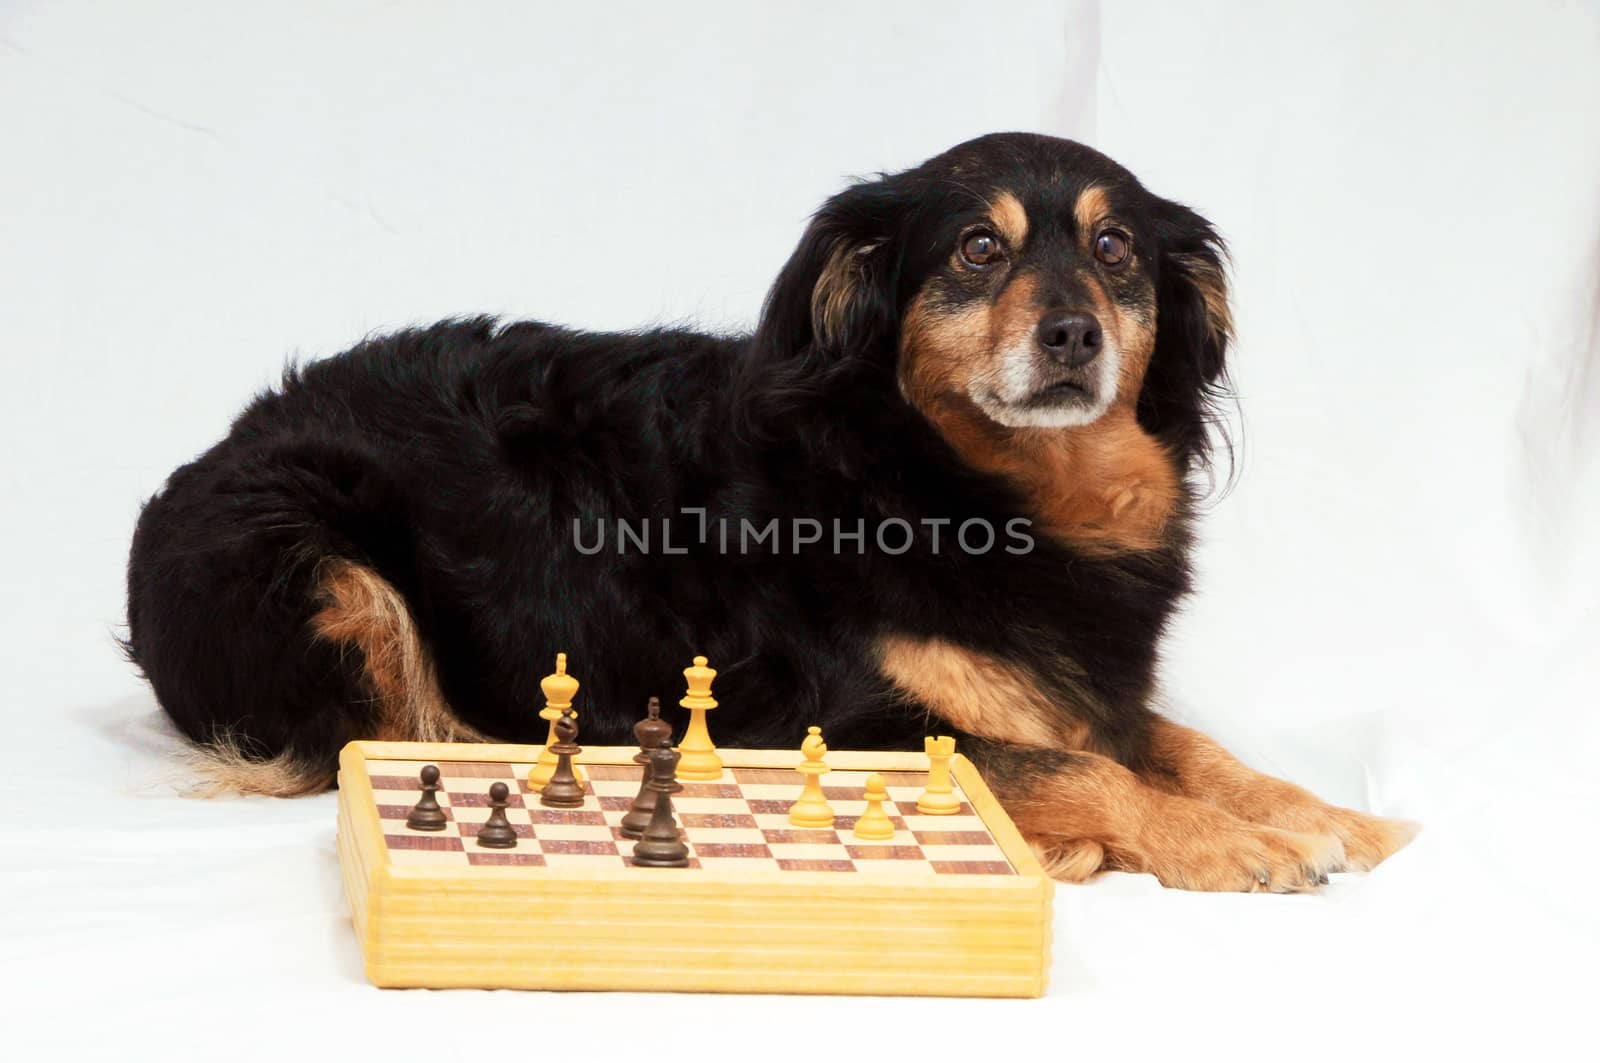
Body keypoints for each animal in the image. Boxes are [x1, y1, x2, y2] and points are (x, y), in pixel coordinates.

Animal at [131, 136, 1420, 890]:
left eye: (1114, 247)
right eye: (976, 247)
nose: (1073, 335)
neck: (944, 483)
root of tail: (210, 452)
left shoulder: (1076, 681)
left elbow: (1174, 742)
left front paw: (1318, 813)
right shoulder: (815, 726)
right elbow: (1075, 767)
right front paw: (1221, 843)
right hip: (322, 566)